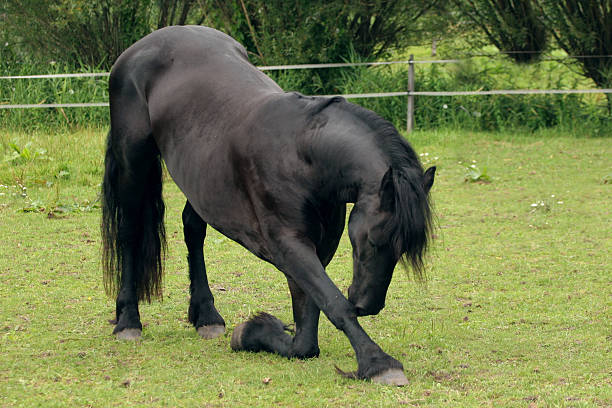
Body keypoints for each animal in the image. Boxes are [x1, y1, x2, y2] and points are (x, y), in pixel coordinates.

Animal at [101, 26, 436, 386]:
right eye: (374, 241)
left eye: (403, 249)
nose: (367, 305)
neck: (304, 155)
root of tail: (141, 47)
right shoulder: (288, 244)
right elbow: (332, 302)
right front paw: (378, 362)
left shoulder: (318, 247)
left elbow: (307, 331)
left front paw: (253, 332)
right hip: (133, 163)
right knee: (129, 232)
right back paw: (128, 321)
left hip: (199, 180)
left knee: (193, 230)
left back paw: (206, 315)